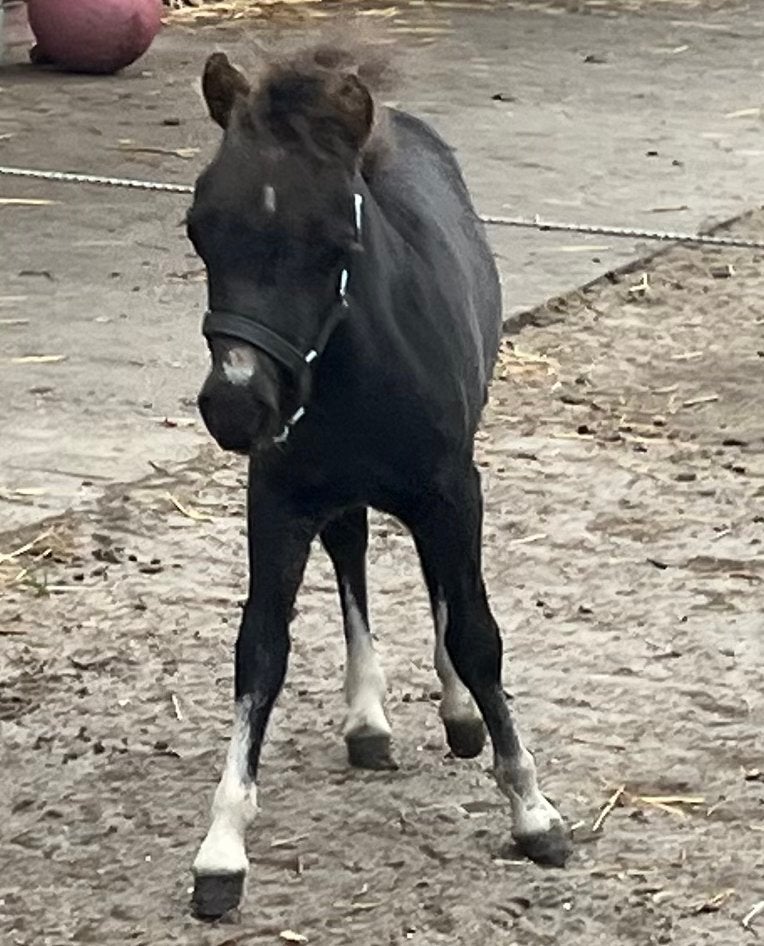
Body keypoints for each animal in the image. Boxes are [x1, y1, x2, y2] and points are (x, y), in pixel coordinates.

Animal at [186, 44, 571, 919]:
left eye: (335, 242)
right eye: (199, 229)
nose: (235, 405)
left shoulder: (454, 491)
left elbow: (477, 634)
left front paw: (533, 810)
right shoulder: (278, 499)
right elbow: (260, 650)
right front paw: (221, 848)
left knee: (439, 588)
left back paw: (458, 713)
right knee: (353, 549)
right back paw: (367, 719)